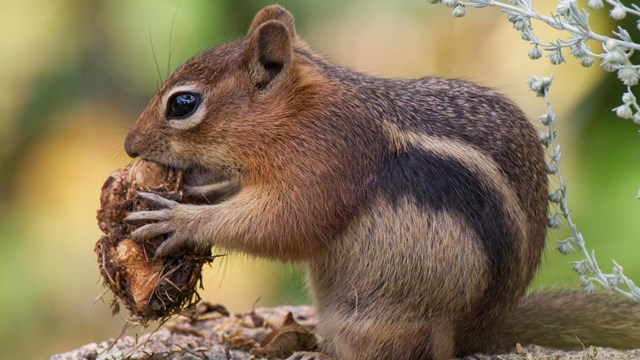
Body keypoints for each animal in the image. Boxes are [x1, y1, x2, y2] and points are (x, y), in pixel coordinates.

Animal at [124, 4, 640, 358]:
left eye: (183, 104)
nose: (129, 146)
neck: (299, 114)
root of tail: (483, 334)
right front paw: (200, 192)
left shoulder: (326, 165)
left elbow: (285, 227)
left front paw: (180, 219)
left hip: (376, 320)